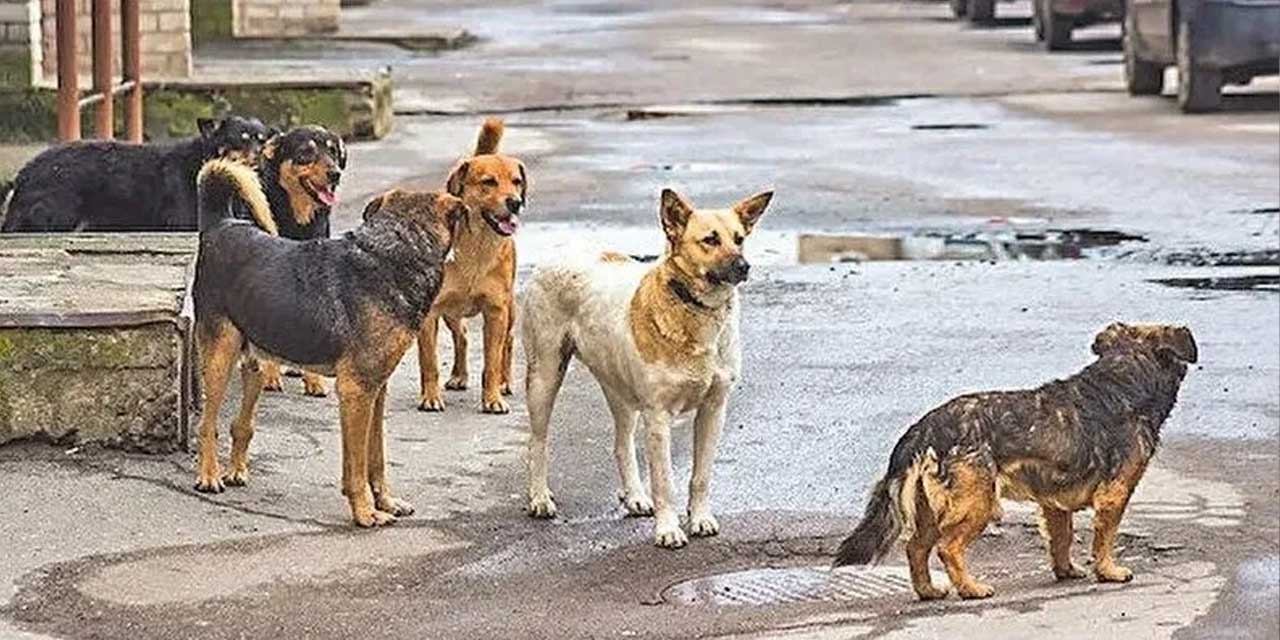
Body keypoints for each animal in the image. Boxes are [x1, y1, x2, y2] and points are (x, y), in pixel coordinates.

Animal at [1, 116, 272, 234]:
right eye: (241, 139)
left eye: (262, 140)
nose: (260, 157)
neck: (202, 161)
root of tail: (24, 175)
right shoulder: (183, 223)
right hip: (59, 219)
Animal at [192, 157, 463, 527]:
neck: (395, 251)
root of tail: (220, 224)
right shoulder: (356, 391)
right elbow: (357, 466)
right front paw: (365, 512)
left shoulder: (376, 390)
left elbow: (375, 458)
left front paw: (386, 501)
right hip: (220, 356)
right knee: (207, 425)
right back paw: (208, 476)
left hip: (256, 363)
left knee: (240, 424)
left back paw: (235, 471)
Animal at [414, 117, 524, 412]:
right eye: (488, 182)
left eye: (517, 182)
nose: (516, 202)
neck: (477, 246)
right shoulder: (430, 313)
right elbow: (429, 362)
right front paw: (430, 397)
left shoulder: (496, 311)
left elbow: (492, 361)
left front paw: (493, 398)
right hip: (451, 311)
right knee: (461, 335)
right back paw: (459, 376)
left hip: (509, 309)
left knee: (508, 342)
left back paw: (505, 382)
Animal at [517, 186, 768, 547]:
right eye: (710, 240)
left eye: (739, 239)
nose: (744, 266)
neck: (695, 310)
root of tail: (561, 250)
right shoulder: (658, 416)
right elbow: (665, 482)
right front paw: (668, 529)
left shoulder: (714, 410)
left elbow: (701, 476)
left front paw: (700, 518)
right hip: (544, 376)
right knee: (538, 441)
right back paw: (539, 498)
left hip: (620, 390)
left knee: (622, 444)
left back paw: (634, 496)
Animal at [834, 322, 1192, 601]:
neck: (1123, 377)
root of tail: (925, 428)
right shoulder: (1114, 495)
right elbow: (1104, 539)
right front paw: (1109, 571)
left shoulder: (1054, 503)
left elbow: (1061, 539)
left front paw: (1065, 571)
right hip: (977, 503)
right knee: (948, 548)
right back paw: (971, 589)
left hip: (930, 510)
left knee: (916, 548)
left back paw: (929, 591)